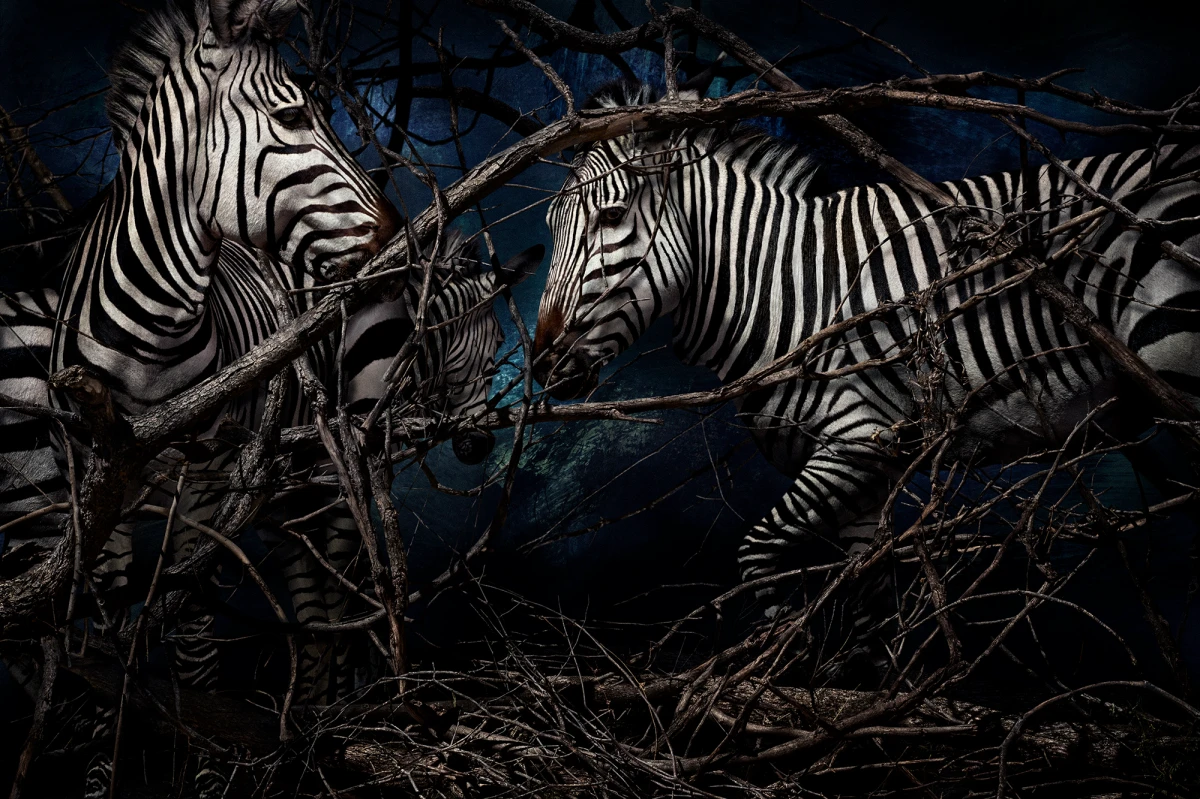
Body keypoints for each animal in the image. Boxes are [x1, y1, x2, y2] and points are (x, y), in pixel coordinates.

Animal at [532, 79, 1200, 627]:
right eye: (551, 228)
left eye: (612, 216)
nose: (539, 367)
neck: (786, 287)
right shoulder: (864, 476)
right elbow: (870, 613)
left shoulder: (856, 440)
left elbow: (758, 558)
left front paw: (786, 676)